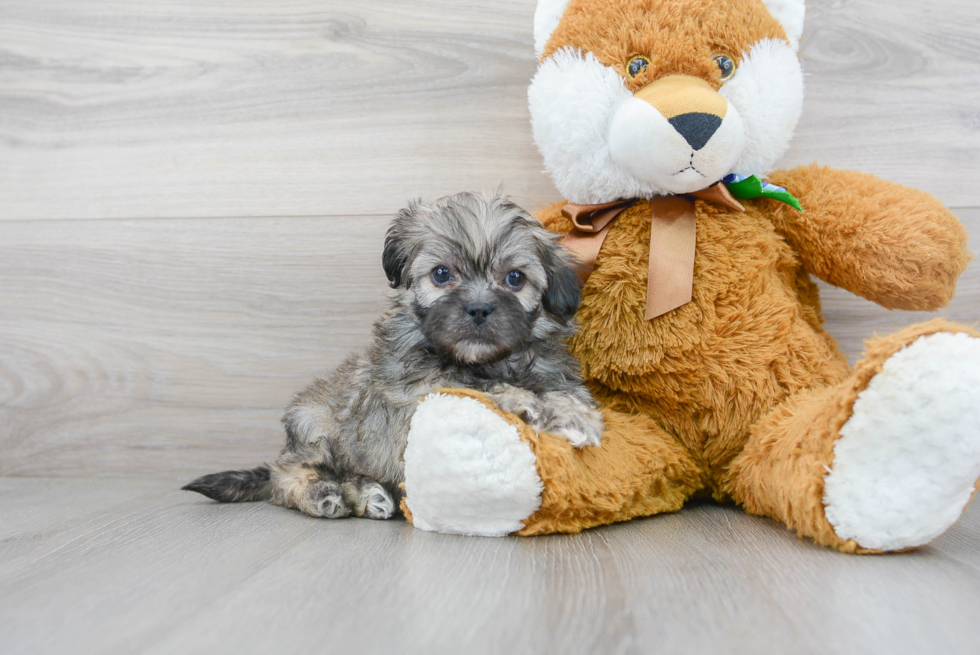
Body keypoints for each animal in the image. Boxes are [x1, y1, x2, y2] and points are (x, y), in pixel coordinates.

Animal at [180, 191, 600, 524]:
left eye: (515, 279)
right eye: (441, 274)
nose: (479, 309)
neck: (485, 361)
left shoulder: (552, 372)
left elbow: (564, 393)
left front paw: (575, 418)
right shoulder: (420, 391)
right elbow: (476, 387)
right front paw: (524, 402)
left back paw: (371, 496)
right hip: (318, 428)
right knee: (285, 474)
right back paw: (323, 494)